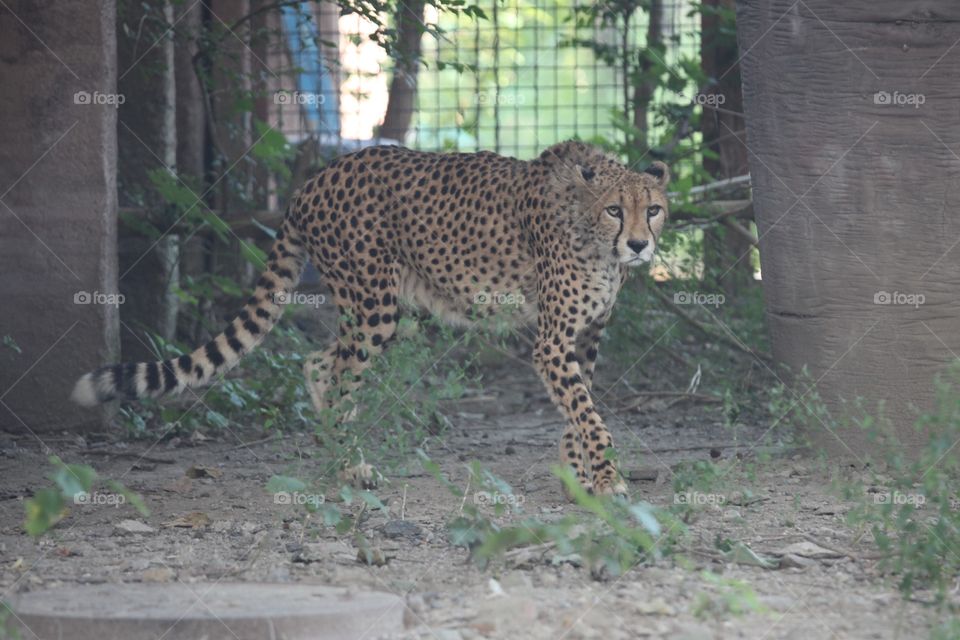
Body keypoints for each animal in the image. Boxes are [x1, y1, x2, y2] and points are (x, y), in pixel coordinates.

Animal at [71, 140, 670, 496]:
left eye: (654, 209)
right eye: (615, 210)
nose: (640, 245)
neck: (595, 238)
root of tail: (318, 176)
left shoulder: (583, 339)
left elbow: (579, 411)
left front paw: (579, 475)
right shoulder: (552, 343)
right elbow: (589, 415)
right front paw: (607, 480)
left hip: (377, 308)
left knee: (319, 364)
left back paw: (341, 455)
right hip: (374, 304)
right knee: (336, 373)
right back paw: (346, 467)